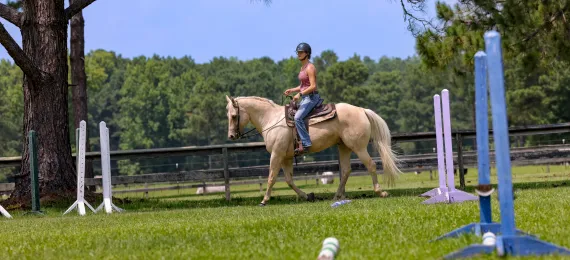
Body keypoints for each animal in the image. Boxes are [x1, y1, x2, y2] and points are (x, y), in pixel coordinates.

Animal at [223, 94, 400, 206]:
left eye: (233, 116)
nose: (231, 135)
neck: (271, 119)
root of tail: (362, 110)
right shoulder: (286, 157)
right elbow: (289, 180)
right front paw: (307, 195)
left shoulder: (276, 154)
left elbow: (271, 177)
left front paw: (264, 200)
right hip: (344, 147)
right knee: (346, 170)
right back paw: (337, 196)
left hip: (359, 147)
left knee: (371, 165)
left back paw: (380, 192)